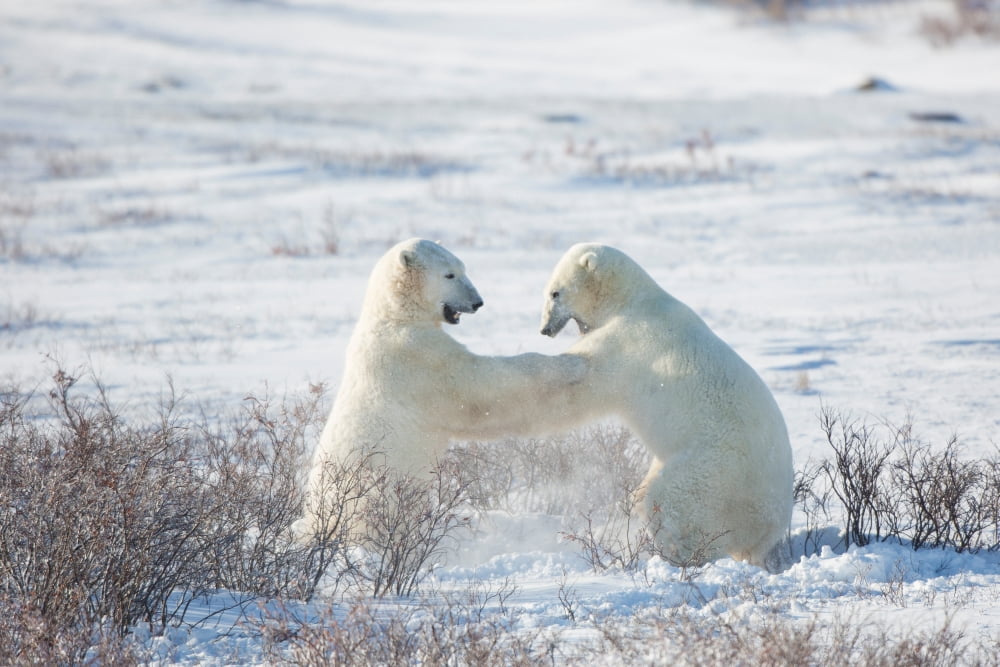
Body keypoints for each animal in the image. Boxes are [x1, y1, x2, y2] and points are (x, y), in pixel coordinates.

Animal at [296, 238, 588, 540]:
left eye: (463, 269)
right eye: (450, 274)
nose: (477, 302)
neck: (394, 317)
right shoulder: (416, 357)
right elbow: (477, 388)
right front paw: (572, 364)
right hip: (368, 493)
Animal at [539, 243, 794, 568]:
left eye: (555, 293)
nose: (545, 329)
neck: (630, 298)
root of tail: (771, 527)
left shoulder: (628, 340)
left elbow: (583, 382)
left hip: (715, 472)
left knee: (671, 500)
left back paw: (678, 554)